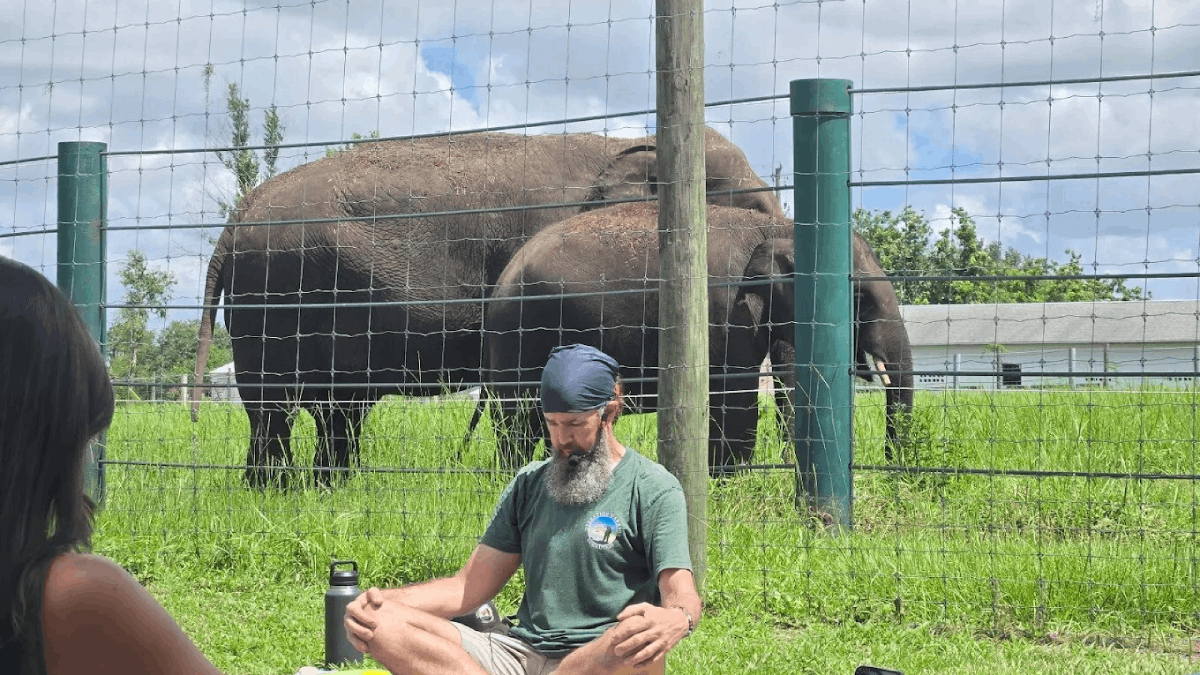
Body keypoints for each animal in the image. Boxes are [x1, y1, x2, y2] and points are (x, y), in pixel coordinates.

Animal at [191, 127, 780, 488]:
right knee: (275, 406)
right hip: (274, 294)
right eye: (753, 207)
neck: (631, 141)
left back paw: (328, 488)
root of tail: (238, 215)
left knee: (338, 409)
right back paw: (275, 491)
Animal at [477, 204, 914, 472]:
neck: (778, 227)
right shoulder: (726, 306)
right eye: (859, 297)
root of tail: (504, 277)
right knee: (517, 421)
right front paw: (732, 484)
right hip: (519, 333)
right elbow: (736, 399)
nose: (896, 467)